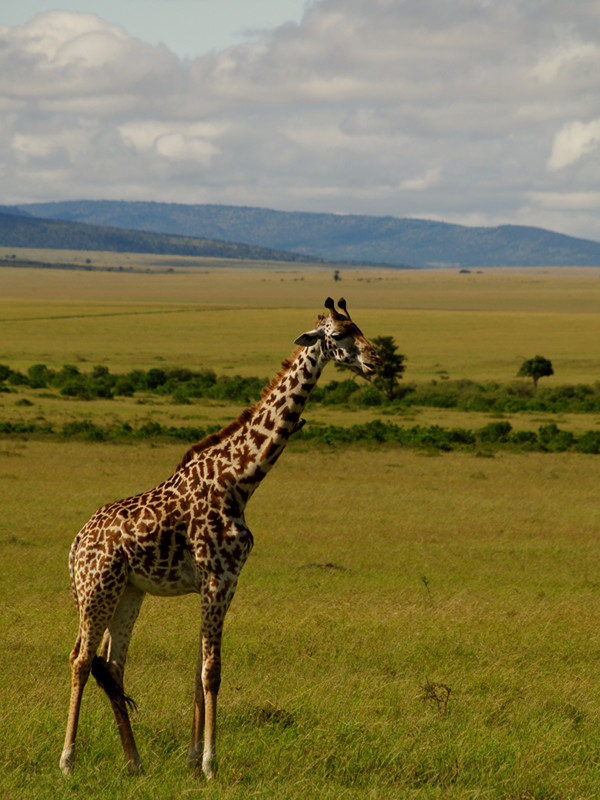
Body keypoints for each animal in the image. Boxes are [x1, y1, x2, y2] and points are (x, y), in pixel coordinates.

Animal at [59, 296, 380, 780]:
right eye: (340, 335)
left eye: (360, 327)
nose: (377, 359)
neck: (239, 480)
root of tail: (77, 544)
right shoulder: (216, 579)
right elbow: (212, 671)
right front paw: (211, 763)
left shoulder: (225, 584)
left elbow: (198, 671)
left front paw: (193, 761)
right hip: (96, 589)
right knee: (80, 660)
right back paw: (68, 761)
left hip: (128, 591)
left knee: (111, 666)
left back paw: (135, 762)